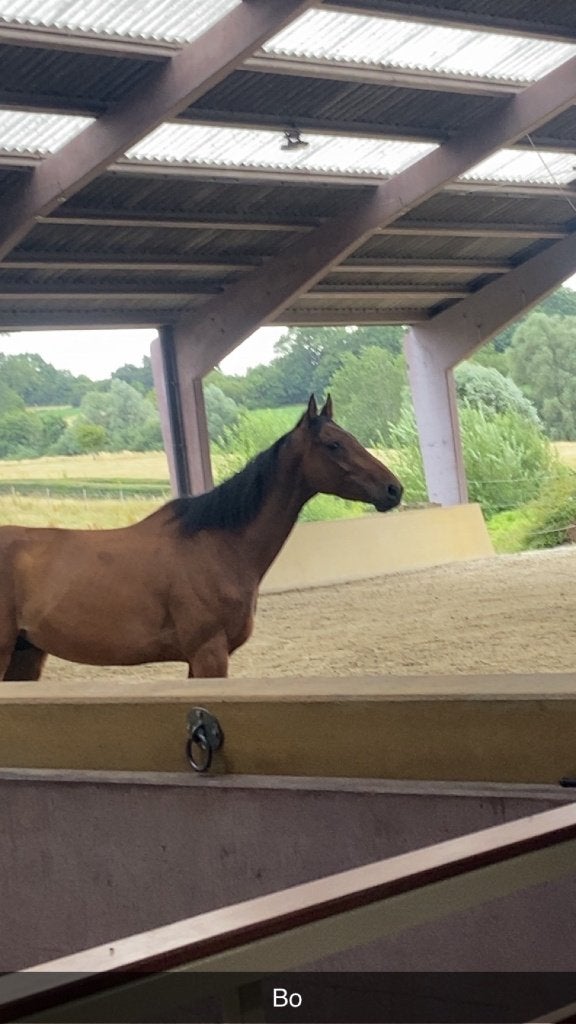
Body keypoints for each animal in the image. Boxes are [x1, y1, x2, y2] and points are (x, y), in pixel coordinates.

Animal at [0, 395, 402, 681]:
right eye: (334, 444)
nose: (393, 489)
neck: (216, 545)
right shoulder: (209, 653)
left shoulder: (198, 659)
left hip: (26, 656)